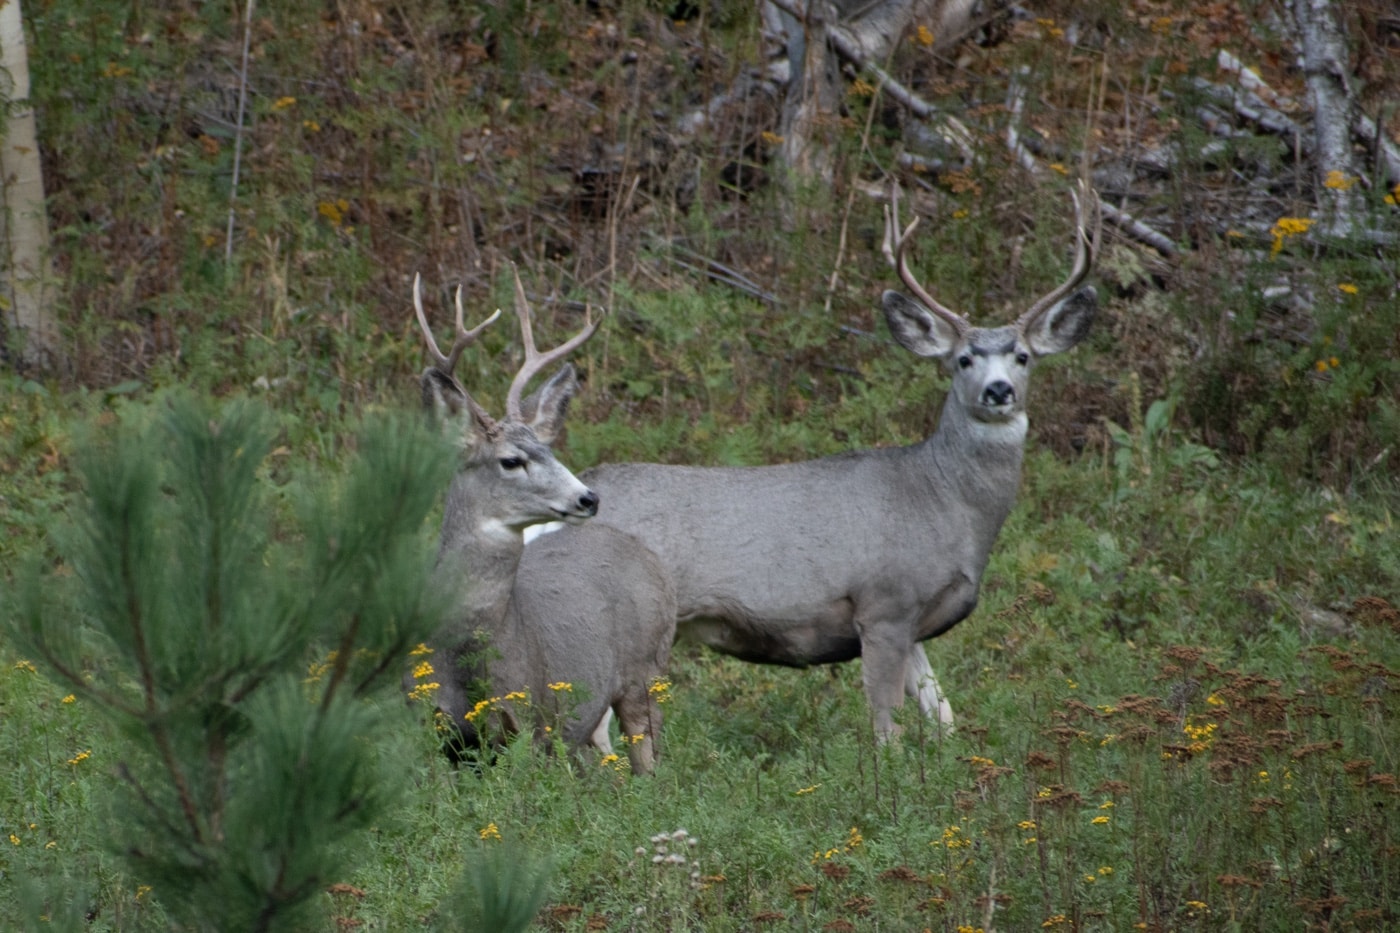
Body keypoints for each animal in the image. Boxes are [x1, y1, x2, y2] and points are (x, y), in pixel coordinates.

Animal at [408, 268, 677, 767]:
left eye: (550, 451)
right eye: (512, 461)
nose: (589, 498)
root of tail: (647, 553)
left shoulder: (532, 724)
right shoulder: (432, 735)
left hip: (645, 672)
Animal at [579, 179, 1103, 734]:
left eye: (1023, 356)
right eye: (963, 359)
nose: (999, 390)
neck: (943, 501)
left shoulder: (913, 623)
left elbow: (944, 717)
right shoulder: (884, 604)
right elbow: (888, 727)